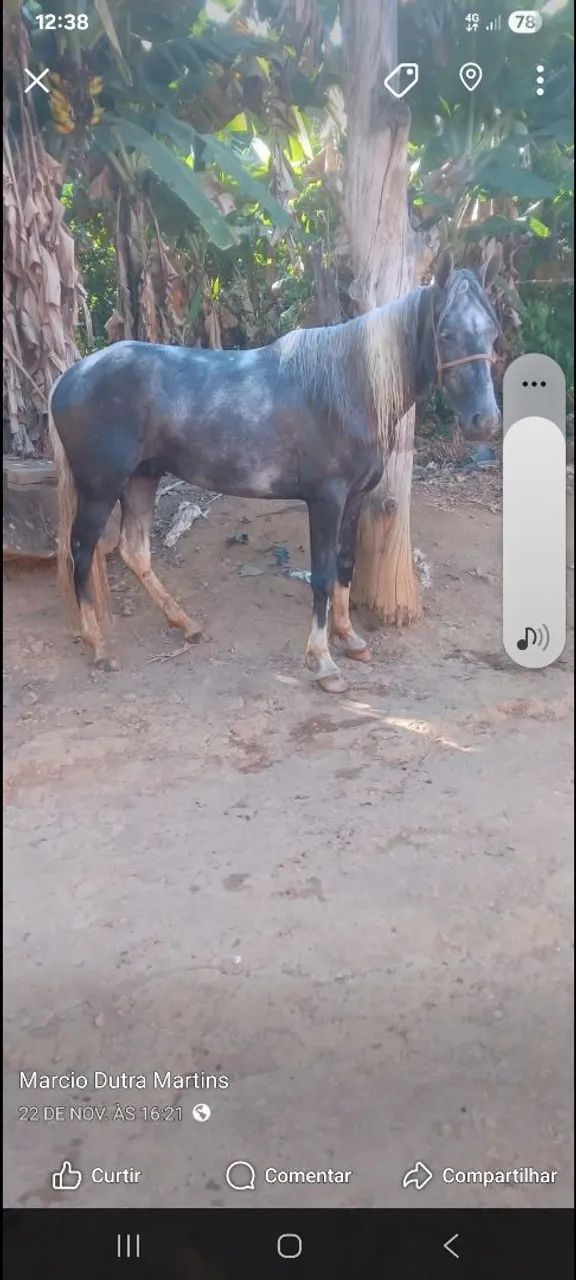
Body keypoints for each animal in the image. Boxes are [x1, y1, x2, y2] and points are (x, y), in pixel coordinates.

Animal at [49, 250, 501, 693]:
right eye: (446, 332)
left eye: (491, 332)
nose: (485, 421)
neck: (349, 389)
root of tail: (70, 377)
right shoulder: (325, 499)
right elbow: (321, 576)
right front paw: (323, 663)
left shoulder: (355, 498)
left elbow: (345, 565)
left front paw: (349, 639)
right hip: (100, 489)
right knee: (81, 552)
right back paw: (99, 646)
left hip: (142, 478)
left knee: (133, 550)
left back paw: (186, 624)